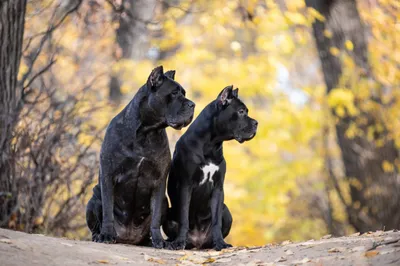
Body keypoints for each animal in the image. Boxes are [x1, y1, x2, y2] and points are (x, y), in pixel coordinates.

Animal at [86, 65, 195, 248]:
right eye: (174, 93)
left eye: (184, 93)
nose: (192, 104)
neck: (146, 132)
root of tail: (128, 238)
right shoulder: (108, 174)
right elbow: (107, 210)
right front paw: (106, 235)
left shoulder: (159, 181)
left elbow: (155, 216)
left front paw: (159, 241)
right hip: (93, 199)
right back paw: (98, 235)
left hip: (164, 202)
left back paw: (150, 241)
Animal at [164, 85, 258, 251]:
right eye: (241, 111)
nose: (256, 123)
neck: (211, 144)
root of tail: (197, 242)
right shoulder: (186, 185)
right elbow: (184, 217)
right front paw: (179, 242)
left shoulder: (218, 188)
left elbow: (216, 221)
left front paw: (220, 243)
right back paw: (172, 242)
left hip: (226, 211)